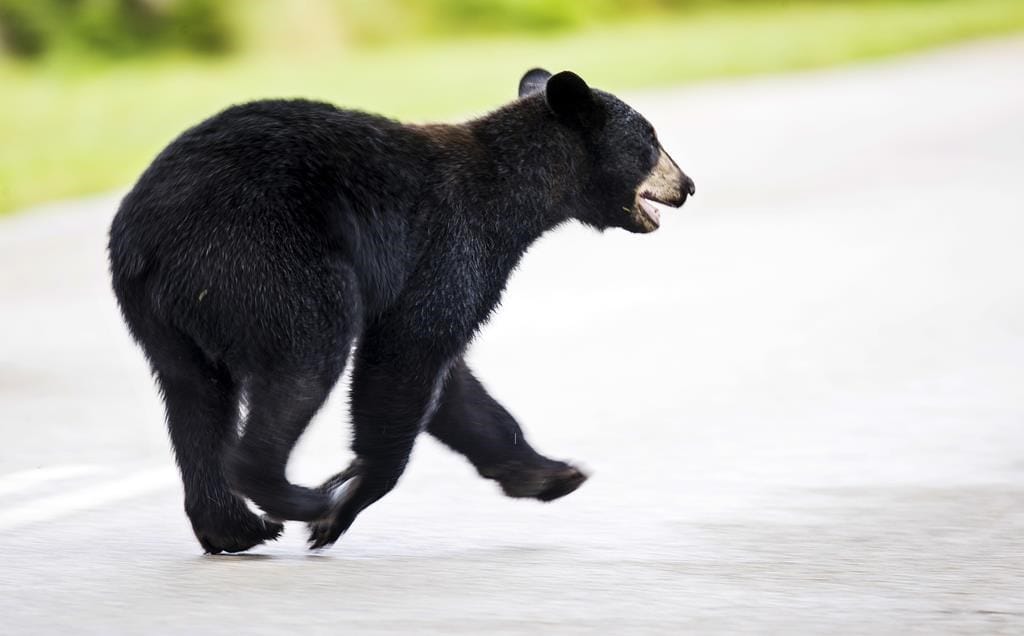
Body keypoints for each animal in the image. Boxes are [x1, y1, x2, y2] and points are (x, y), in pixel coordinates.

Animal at [108, 68, 696, 548]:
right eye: (651, 139)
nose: (688, 185)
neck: (516, 194)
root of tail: (144, 233)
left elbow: (454, 386)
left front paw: (550, 472)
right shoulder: (453, 243)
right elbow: (407, 355)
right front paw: (344, 503)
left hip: (166, 313)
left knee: (194, 395)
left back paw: (232, 528)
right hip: (262, 258)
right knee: (306, 356)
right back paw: (298, 499)